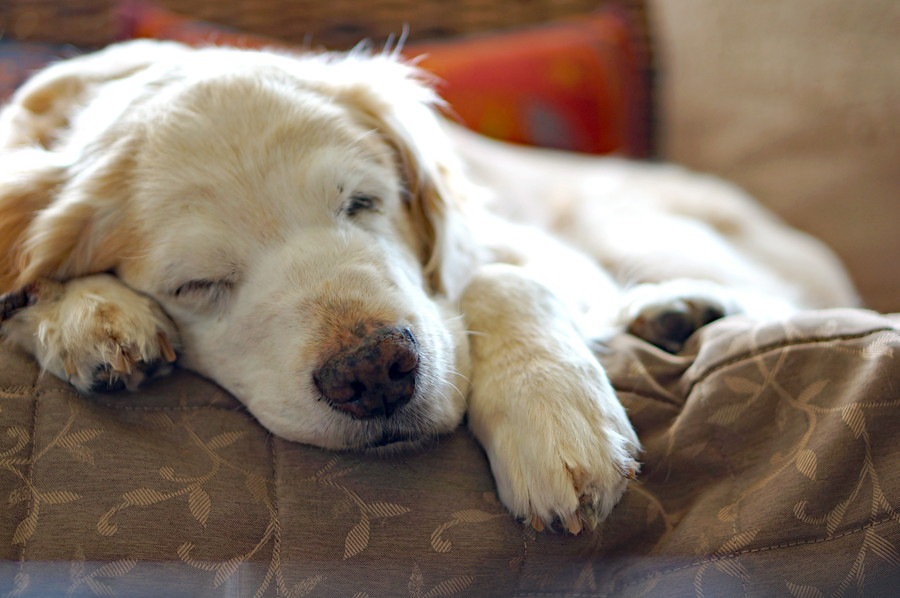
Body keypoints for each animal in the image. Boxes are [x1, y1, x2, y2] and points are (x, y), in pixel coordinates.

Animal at [0, 43, 856, 540]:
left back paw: (678, 312)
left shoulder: (513, 241)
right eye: (199, 283)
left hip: (634, 226)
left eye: (363, 202)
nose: (374, 373)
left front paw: (554, 418)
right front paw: (91, 313)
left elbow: (497, 279)